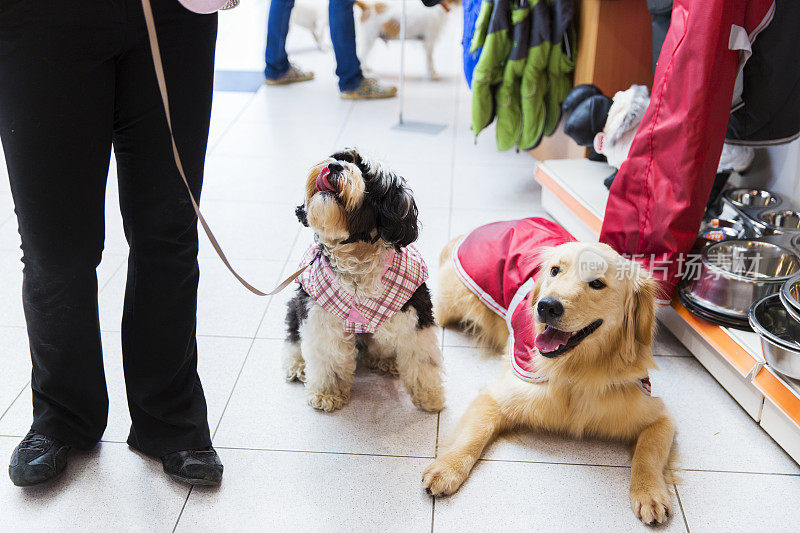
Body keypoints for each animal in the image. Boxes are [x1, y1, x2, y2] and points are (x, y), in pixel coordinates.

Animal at [282, 148, 446, 414]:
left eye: (367, 175)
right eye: (341, 157)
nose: (334, 166)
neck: (357, 256)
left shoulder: (415, 314)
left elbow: (422, 359)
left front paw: (429, 396)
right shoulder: (318, 314)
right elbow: (328, 357)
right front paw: (327, 393)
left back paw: (385, 360)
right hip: (297, 303)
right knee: (293, 334)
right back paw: (297, 364)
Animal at [422, 236, 680, 524]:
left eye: (597, 283)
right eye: (555, 271)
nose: (546, 306)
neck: (575, 372)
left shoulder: (659, 417)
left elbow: (648, 455)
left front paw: (650, 493)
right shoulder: (498, 396)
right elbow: (472, 436)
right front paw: (447, 468)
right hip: (451, 304)